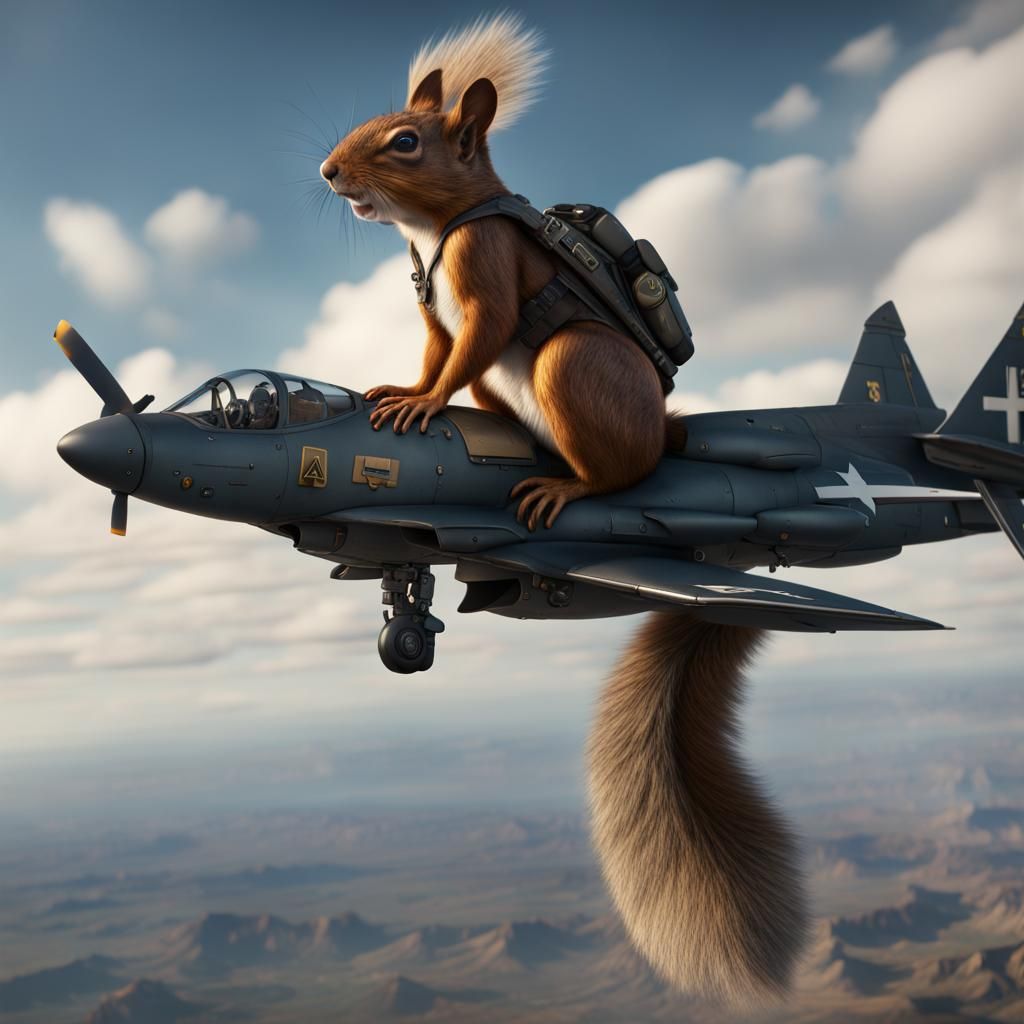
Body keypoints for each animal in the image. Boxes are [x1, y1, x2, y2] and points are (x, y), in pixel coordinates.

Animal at [318, 14, 808, 1005]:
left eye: (405, 141)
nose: (327, 172)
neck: (439, 228)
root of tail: (665, 436)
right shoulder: (426, 306)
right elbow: (432, 353)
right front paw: (401, 391)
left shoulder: (486, 275)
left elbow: (475, 341)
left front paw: (421, 409)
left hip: (572, 368)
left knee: (605, 466)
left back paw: (565, 485)